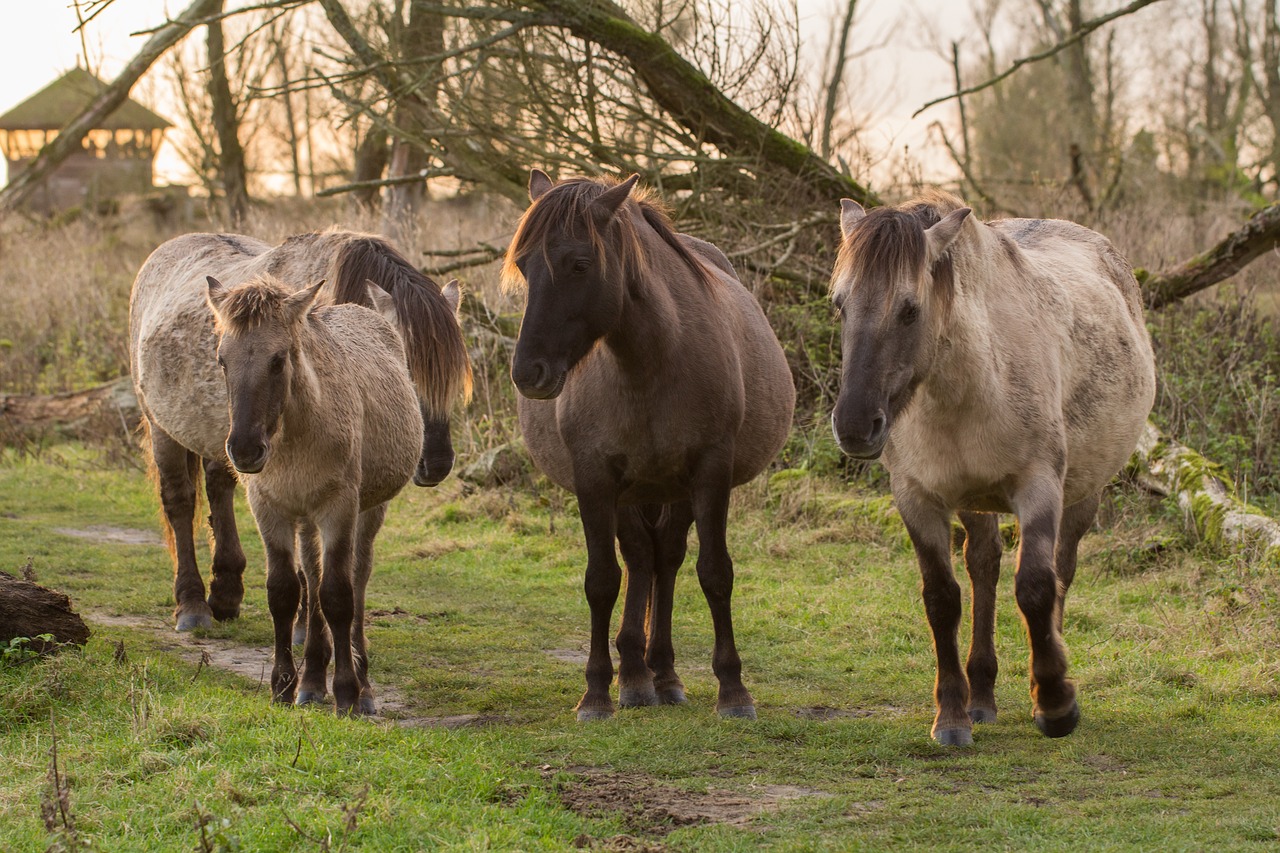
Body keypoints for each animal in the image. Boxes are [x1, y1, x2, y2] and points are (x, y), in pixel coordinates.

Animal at [129, 229, 473, 627]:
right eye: (406, 370)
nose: (436, 464)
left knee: (218, 486)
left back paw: (227, 592)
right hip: (163, 428)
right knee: (180, 502)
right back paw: (192, 604)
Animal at [504, 167, 793, 717]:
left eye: (579, 264)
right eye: (525, 266)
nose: (529, 373)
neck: (651, 359)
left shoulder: (709, 472)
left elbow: (714, 573)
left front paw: (733, 689)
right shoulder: (596, 478)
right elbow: (602, 579)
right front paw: (596, 692)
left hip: (673, 490)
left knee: (666, 557)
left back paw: (663, 674)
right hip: (634, 491)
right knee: (641, 558)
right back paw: (637, 676)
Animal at [829, 192, 1162, 742]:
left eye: (910, 310)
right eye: (840, 304)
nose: (855, 425)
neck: (969, 384)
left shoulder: (1039, 487)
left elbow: (1036, 587)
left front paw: (1056, 703)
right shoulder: (917, 498)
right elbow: (942, 599)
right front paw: (951, 717)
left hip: (1082, 494)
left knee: (1061, 572)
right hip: (974, 499)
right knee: (984, 566)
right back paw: (981, 697)